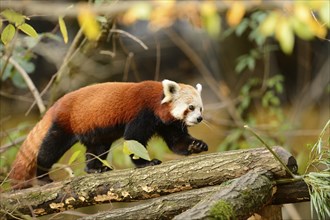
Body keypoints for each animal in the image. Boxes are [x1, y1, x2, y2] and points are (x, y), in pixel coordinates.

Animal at [9, 80, 208, 188]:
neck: (157, 103)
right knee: (50, 148)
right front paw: (146, 163)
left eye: (200, 108)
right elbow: (134, 139)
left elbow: (177, 141)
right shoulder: (141, 113)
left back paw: (95, 168)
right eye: (190, 108)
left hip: (94, 130)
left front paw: (196, 145)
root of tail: (58, 103)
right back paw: (43, 175)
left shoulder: (168, 123)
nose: (199, 118)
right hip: (66, 123)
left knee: (96, 148)